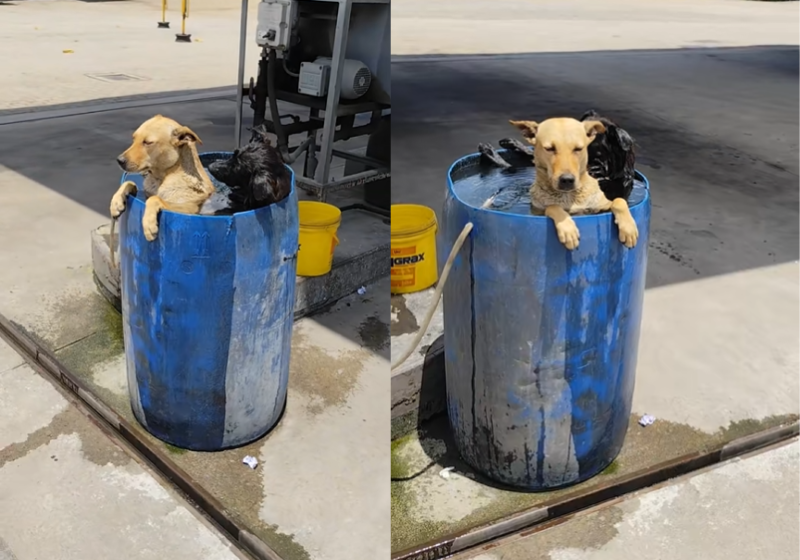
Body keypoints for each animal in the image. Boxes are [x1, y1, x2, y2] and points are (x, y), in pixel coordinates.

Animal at [512, 117, 636, 250]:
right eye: (550, 149)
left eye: (578, 149)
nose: (567, 180)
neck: (569, 196)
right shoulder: (538, 212)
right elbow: (553, 207)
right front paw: (568, 229)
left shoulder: (602, 207)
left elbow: (619, 201)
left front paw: (629, 228)